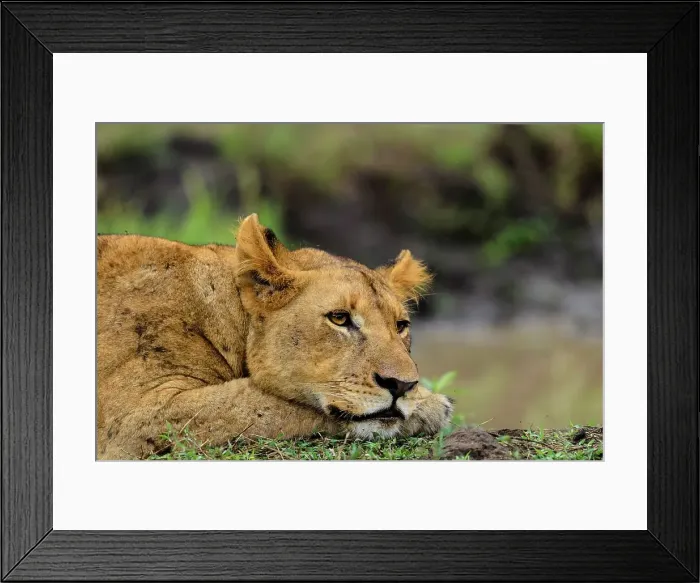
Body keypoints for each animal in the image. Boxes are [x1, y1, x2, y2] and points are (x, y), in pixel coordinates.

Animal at [97, 213, 453, 459]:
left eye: (401, 325)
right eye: (339, 318)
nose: (402, 386)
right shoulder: (137, 417)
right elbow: (268, 404)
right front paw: (430, 405)